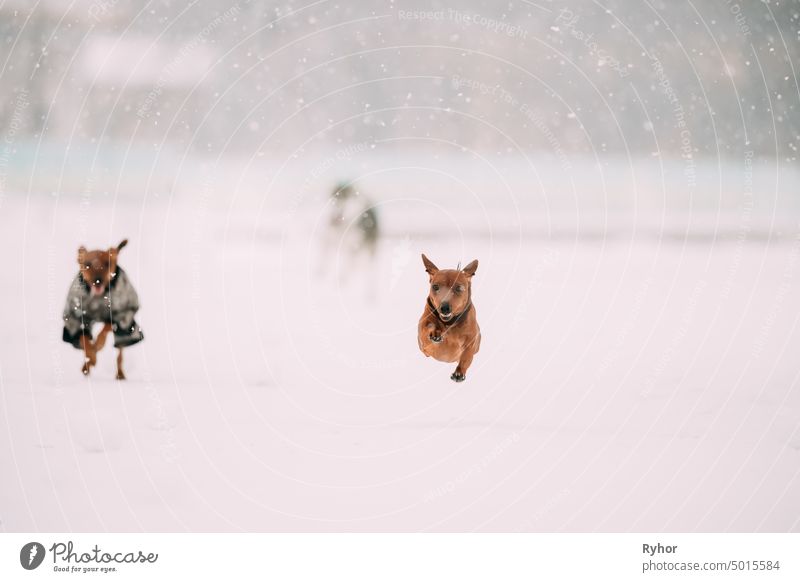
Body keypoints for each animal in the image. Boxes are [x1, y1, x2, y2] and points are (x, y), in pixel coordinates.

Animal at [63, 240, 145, 380]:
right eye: (87, 265)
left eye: (107, 264)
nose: (98, 281)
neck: (98, 298)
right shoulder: (77, 317)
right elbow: (85, 341)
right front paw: (91, 358)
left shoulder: (119, 314)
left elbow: (103, 333)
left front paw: (97, 347)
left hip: (126, 328)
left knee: (119, 352)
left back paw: (120, 374)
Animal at [418, 256, 482, 384]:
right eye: (435, 287)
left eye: (459, 288)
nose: (444, 307)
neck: (449, 324)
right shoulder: (423, 341)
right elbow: (428, 325)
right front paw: (436, 332)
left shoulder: (471, 344)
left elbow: (465, 357)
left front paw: (459, 372)